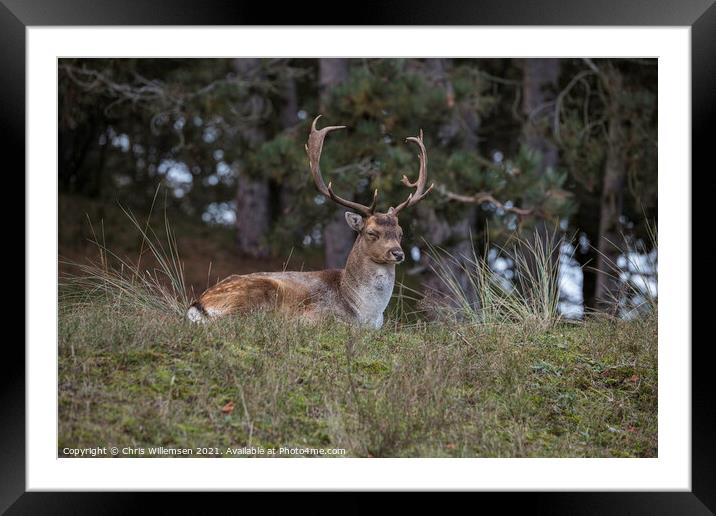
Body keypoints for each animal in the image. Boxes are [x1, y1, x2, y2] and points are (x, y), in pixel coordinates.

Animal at [185, 115, 434, 328]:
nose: (398, 253)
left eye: (400, 233)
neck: (366, 313)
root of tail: (198, 305)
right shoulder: (316, 316)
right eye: (371, 232)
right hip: (254, 297)